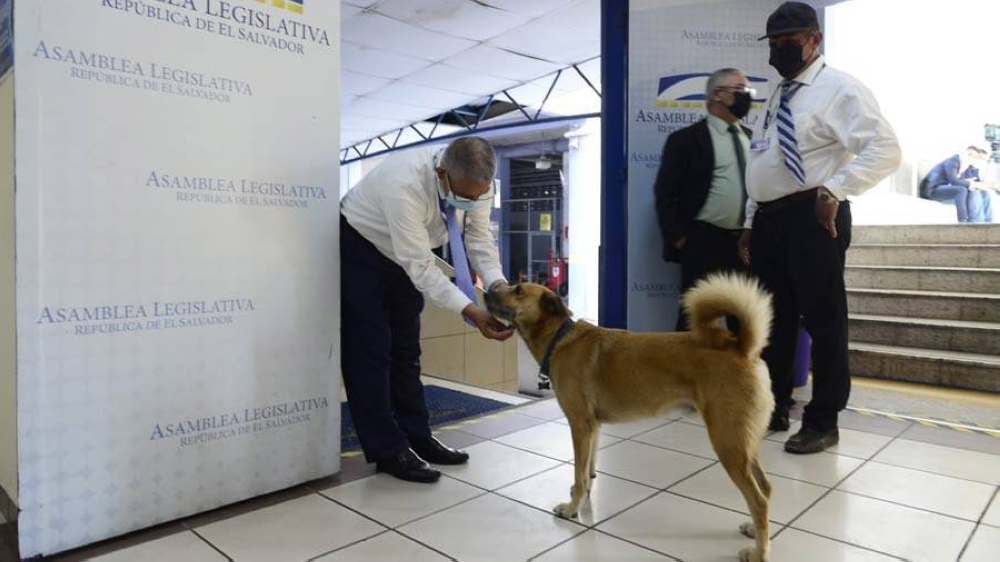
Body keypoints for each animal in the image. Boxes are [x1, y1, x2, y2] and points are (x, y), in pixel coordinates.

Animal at [488, 272, 776, 560]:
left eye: (518, 290)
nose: (487, 291)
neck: (559, 337)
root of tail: (741, 348)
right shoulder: (593, 428)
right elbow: (587, 470)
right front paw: (583, 494)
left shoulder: (579, 426)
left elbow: (579, 474)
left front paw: (572, 508)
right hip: (743, 442)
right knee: (765, 488)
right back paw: (755, 529)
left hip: (728, 441)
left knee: (759, 500)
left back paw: (759, 551)